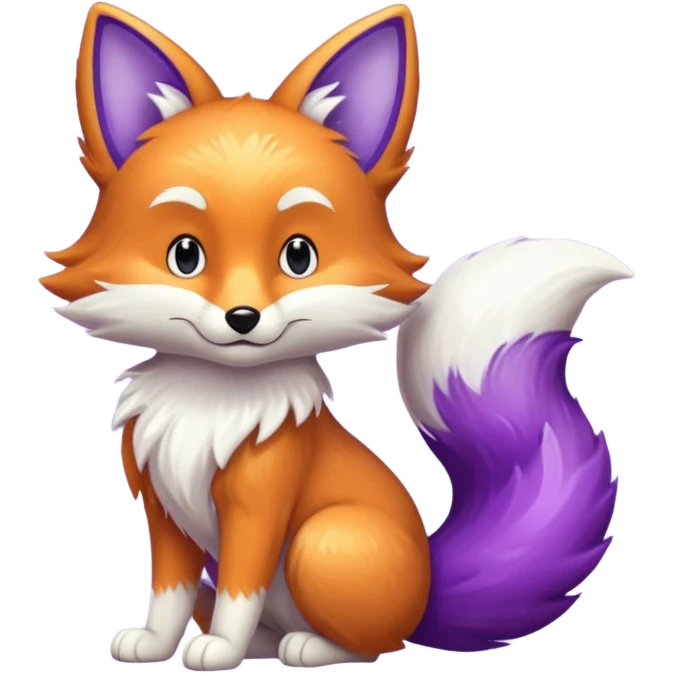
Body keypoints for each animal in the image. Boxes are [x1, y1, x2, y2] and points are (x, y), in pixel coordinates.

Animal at [43, 2, 633, 670]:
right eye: (185, 255)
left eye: (299, 256)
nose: (242, 317)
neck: (211, 403)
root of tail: (427, 592)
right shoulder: (163, 508)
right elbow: (166, 592)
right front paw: (158, 645)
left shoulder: (259, 505)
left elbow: (242, 588)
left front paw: (219, 650)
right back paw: (261, 645)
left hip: (325, 540)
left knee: (375, 643)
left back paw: (307, 646)